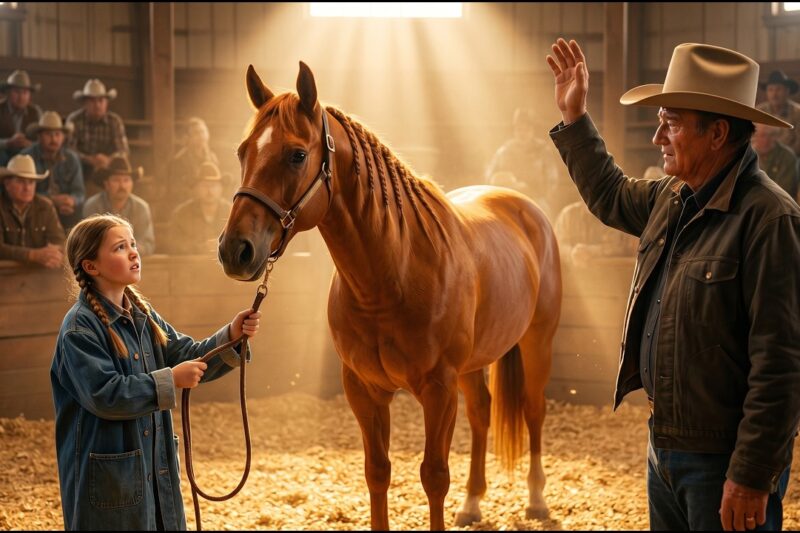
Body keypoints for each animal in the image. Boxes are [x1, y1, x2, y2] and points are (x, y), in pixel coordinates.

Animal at [218, 62, 563, 531]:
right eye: (242, 152)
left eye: (297, 155)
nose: (234, 250)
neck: (392, 276)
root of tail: (526, 208)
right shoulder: (364, 389)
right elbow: (377, 472)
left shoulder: (438, 389)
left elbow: (434, 476)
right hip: (475, 363)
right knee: (481, 412)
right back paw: (472, 503)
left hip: (536, 341)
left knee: (533, 409)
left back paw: (537, 499)